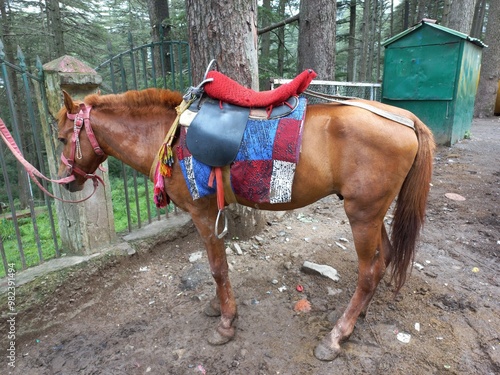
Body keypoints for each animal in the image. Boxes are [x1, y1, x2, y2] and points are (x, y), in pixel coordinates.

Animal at [57, 88, 434, 362]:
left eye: (61, 139)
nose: (66, 183)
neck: (168, 135)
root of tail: (407, 119)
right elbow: (218, 268)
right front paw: (217, 308)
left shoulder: (203, 213)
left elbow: (217, 268)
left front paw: (226, 323)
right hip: (371, 214)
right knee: (384, 260)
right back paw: (357, 318)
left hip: (362, 215)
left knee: (368, 272)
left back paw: (337, 336)